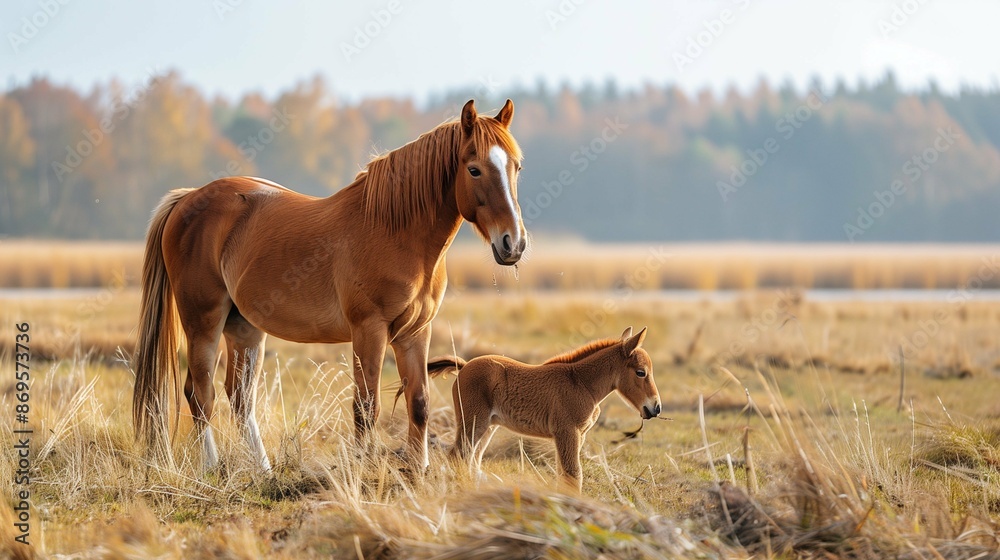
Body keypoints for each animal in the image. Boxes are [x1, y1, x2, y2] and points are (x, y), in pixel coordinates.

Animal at [133, 99, 527, 472]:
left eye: (516, 167)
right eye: (474, 169)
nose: (514, 244)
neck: (394, 231)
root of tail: (187, 198)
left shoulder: (415, 332)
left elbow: (419, 402)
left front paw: (418, 470)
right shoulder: (369, 330)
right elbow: (366, 407)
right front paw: (364, 469)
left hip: (243, 327)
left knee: (240, 399)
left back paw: (264, 472)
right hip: (203, 322)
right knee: (200, 393)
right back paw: (211, 468)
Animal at [425, 327, 660, 492]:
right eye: (641, 372)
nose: (655, 408)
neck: (580, 382)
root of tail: (464, 366)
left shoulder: (575, 435)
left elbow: (564, 474)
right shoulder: (567, 431)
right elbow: (573, 474)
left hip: (487, 426)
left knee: (471, 459)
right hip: (474, 422)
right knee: (457, 456)